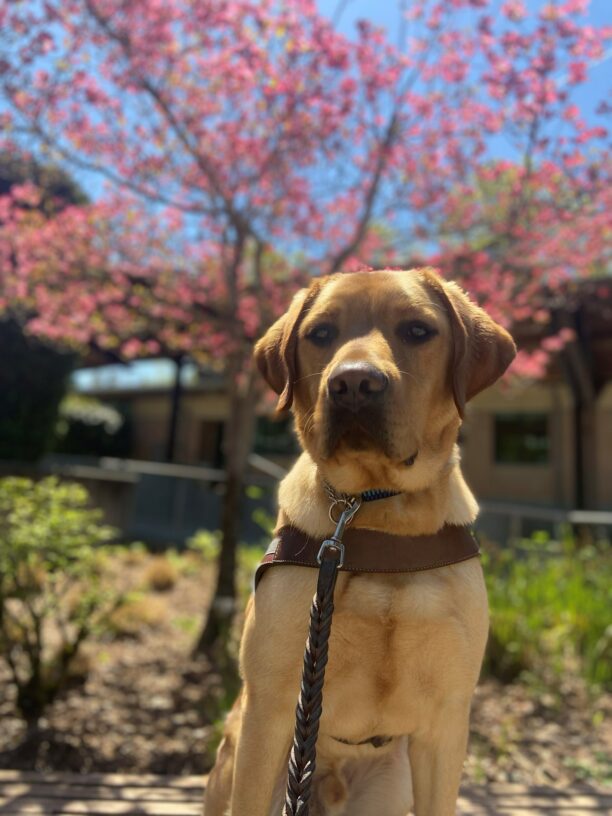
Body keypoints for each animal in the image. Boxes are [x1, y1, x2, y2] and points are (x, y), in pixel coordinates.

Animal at [206, 268, 516, 816]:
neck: (377, 512)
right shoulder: (270, 710)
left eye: (417, 330)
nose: (353, 383)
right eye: (321, 333)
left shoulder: (446, 722)